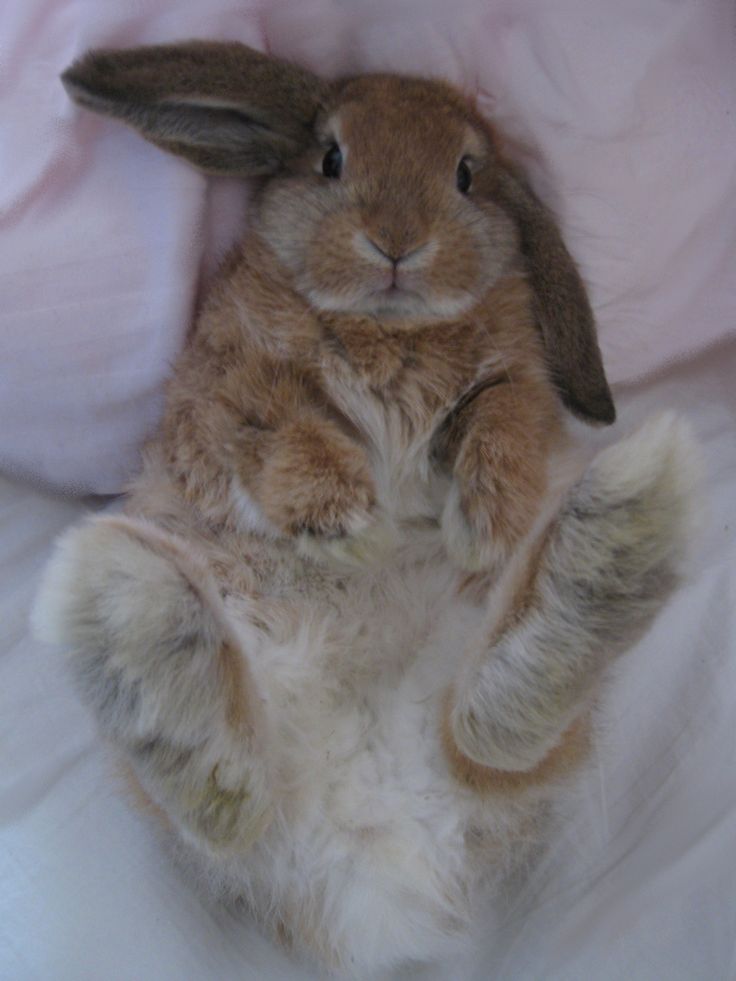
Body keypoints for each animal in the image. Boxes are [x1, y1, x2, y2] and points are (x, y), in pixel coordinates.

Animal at [31, 42, 700, 976]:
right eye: (331, 158)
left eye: (466, 174)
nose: (396, 243)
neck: (393, 325)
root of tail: (374, 852)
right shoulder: (232, 382)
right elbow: (285, 426)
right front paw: (349, 521)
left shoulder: (515, 379)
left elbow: (503, 416)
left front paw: (488, 517)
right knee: (236, 806)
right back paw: (132, 607)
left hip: (489, 710)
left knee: (487, 731)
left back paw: (620, 531)